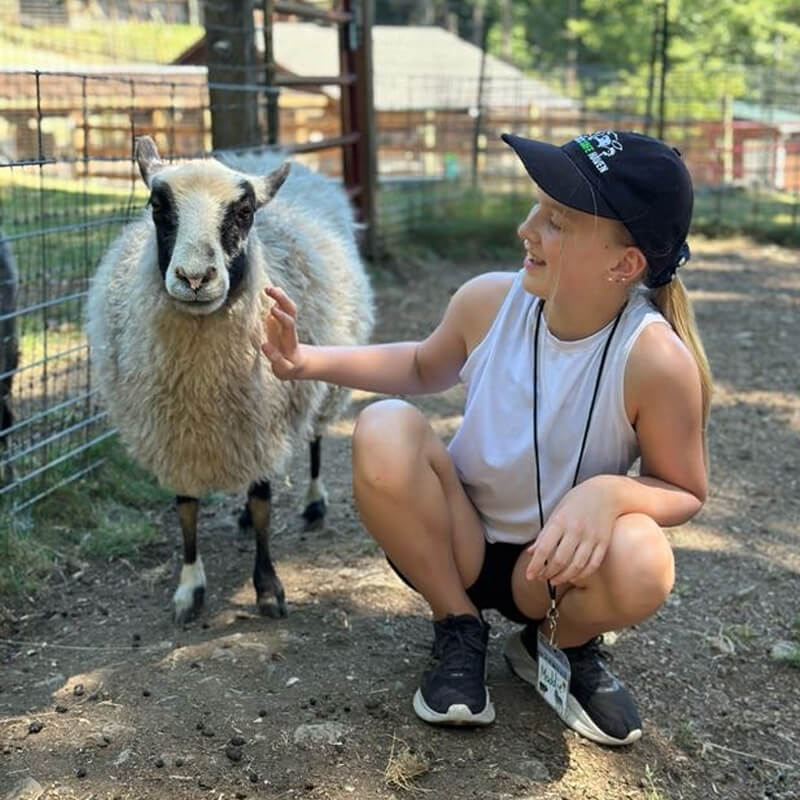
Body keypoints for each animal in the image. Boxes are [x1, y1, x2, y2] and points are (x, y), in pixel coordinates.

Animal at [86, 136, 374, 623]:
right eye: (157, 206)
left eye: (244, 211)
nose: (194, 277)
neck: (202, 385)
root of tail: (262, 155)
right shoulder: (175, 431)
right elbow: (186, 506)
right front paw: (189, 588)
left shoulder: (260, 417)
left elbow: (262, 504)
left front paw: (268, 589)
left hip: (325, 379)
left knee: (316, 437)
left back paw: (314, 503)